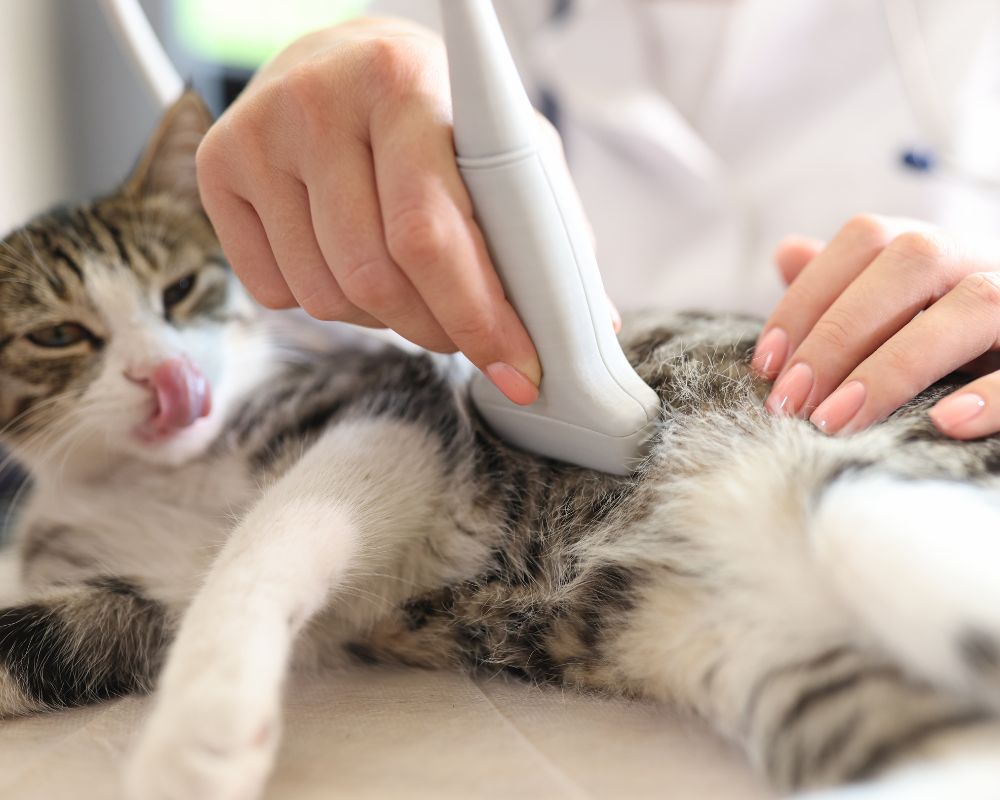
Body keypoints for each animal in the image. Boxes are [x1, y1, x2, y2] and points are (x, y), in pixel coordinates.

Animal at [1, 90, 1000, 796]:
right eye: (58, 335)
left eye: (179, 291)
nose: (169, 379)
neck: (142, 481)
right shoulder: (133, 597)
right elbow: (42, 640)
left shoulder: (396, 416)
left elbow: (267, 542)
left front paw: (196, 738)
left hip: (870, 491)